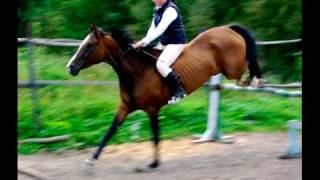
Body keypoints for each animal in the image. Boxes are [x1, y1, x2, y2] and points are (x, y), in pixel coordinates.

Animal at [65, 23, 262, 170]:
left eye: (89, 45)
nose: (70, 67)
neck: (136, 71)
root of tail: (226, 28)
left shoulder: (152, 109)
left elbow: (155, 135)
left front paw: (154, 163)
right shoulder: (125, 107)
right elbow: (110, 131)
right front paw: (91, 160)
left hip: (231, 68)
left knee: (247, 64)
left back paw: (255, 80)